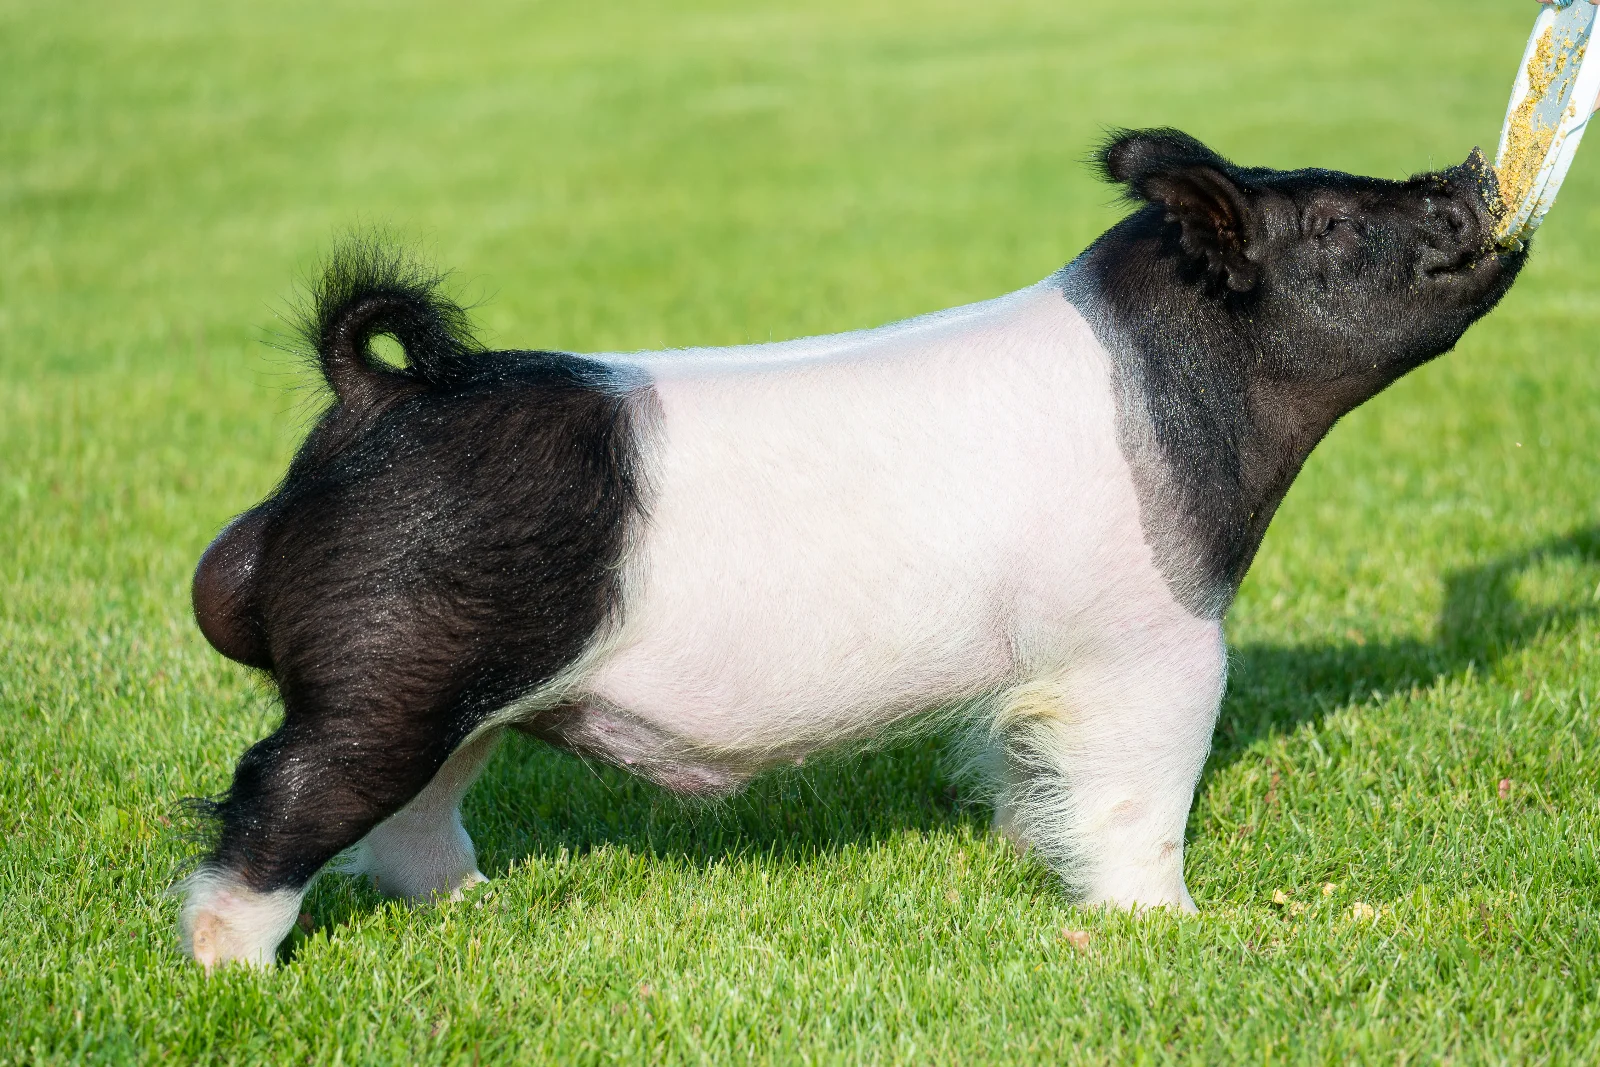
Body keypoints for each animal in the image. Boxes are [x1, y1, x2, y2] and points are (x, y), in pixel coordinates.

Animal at [179, 129, 1522, 969]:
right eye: (1336, 220)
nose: (1463, 177)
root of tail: (375, 399)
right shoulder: (1152, 639)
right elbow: (1144, 789)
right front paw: (1171, 927)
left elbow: (1028, 769)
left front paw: (1022, 845)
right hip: (381, 677)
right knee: (277, 797)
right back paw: (231, 971)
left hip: (460, 688)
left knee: (416, 816)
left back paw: (474, 903)